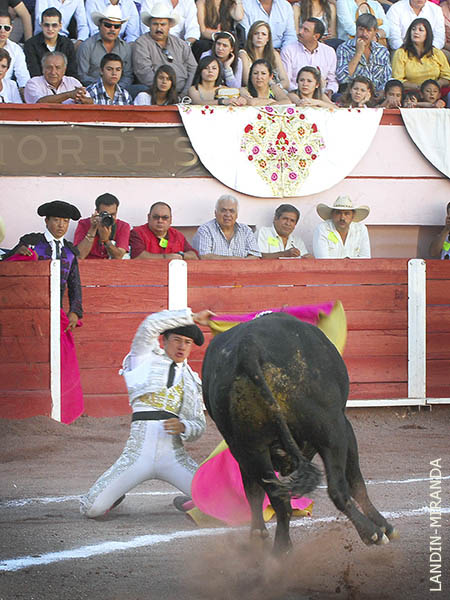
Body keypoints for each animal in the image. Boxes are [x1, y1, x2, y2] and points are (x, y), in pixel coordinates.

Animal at [202, 311, 397, 554]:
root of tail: (249, 348)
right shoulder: (345, 427)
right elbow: (356, 482)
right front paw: (384, 526)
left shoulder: (243, 452)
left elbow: (252, 491)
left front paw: (258, 533)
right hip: (331, 430)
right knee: (337, 489)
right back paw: (372, 533)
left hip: (249, 449)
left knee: (277, 497)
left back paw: (281, 548)